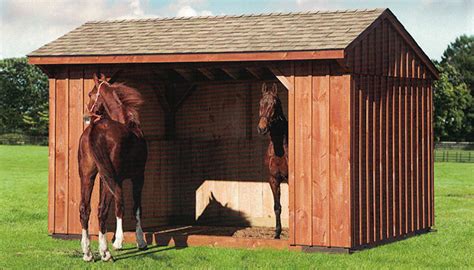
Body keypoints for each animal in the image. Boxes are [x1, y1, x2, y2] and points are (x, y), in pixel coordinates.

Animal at [78, 74, 148, 262]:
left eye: (90, 94)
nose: (87, 115)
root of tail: (95, 128)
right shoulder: (138, 177)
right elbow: (135, 207)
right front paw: (137, 241)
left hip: (88, 176)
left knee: (85, 208)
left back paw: (88, 253)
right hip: (110, 177)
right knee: (107, 208)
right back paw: (108, 250)